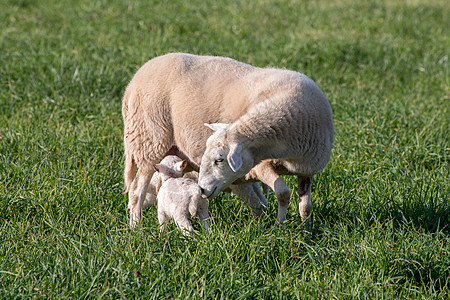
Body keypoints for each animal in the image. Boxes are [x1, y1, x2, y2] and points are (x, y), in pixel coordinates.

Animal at [121, 53, 332, 227]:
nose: (202, 189)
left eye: (219, 159)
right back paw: (136, 228)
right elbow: (282, 193)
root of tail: (131, 84)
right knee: (136, 190)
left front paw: (306, 231)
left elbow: (305, 206)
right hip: (148, 142)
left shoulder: (306, 171)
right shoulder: (259, 165)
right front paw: (280, 227)